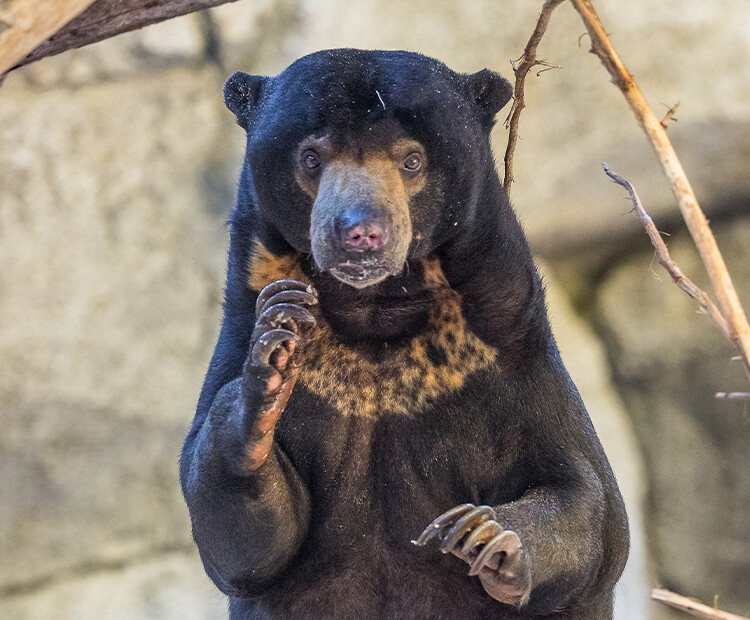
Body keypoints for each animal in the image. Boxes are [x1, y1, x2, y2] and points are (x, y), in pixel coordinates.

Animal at [179, 49, 632, 620]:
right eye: (312, 157)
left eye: (412, 160)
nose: (359, 232)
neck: (376, 308)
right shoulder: (242, 331)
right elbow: (241, 546)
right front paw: (270, 369)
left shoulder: (507, 353)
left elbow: (590, 502)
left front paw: (486, 535)